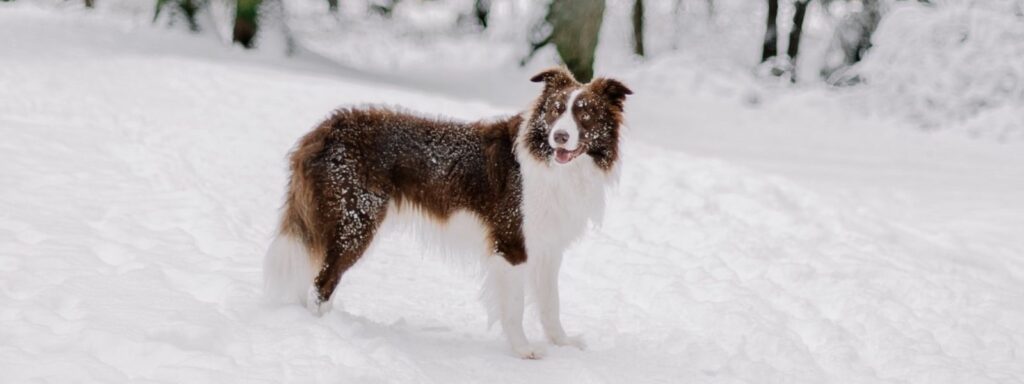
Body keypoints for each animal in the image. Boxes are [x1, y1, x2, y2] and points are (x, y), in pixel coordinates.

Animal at [262, 67, 630, 360]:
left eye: (585, 115)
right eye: (556, 111)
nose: (560, 137)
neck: (553, 166)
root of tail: (325, 128)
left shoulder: (548, 247)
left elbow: (551, 303)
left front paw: (562, 343)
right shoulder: (512, 244)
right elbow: (514, 306)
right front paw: (523, 350)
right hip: (355, 222)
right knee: (321, 283)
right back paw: (327, 332)